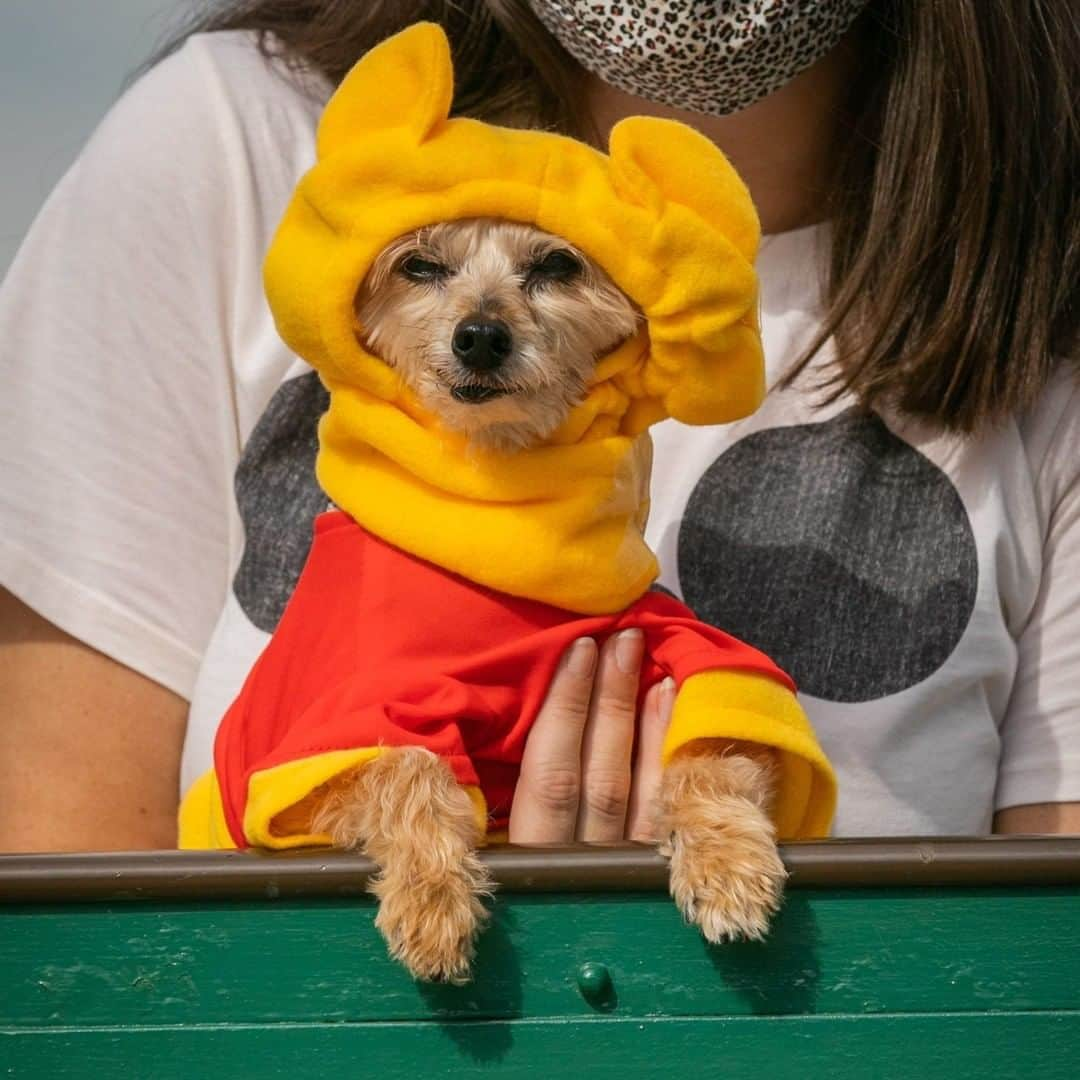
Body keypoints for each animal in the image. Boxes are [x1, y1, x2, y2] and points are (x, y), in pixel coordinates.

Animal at [300, 217, 790, 980]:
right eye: (420, 266)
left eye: (557, 265)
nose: (480, 336)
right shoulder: (332, 738)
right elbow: (406, 765)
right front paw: (433, 900)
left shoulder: (688, 656)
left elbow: (711, 753)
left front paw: (727, 862)